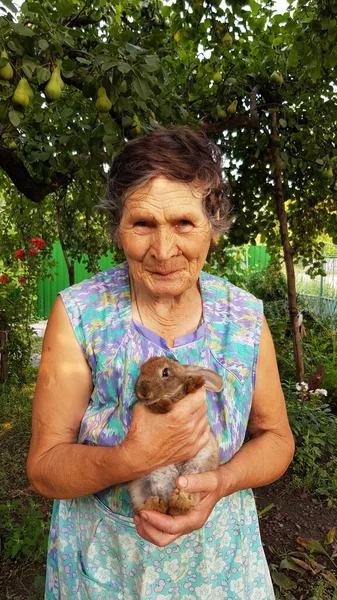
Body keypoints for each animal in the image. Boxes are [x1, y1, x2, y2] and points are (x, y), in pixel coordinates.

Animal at [126, 356, 223, 516]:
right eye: (141, 372)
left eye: (165, 372)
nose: (143, 392)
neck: (172, 396)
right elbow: (155, 405)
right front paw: (164, 405)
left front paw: (195, 382)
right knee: (160, 504)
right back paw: (156, 503)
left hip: (198, 465)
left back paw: (179, 500)